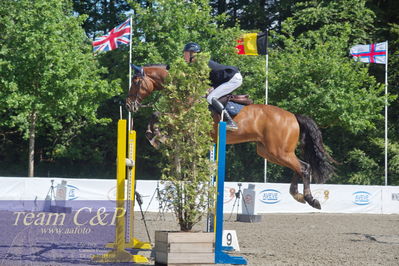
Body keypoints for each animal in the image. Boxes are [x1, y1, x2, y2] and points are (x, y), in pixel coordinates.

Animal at [126, 65, 336, 210]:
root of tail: (293, 116)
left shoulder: (185, 120)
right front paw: (155, 136)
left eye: (136, 82)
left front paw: (156, 137)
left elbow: (157, 115)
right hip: (269, 152)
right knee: (300, 167)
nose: (128, 105)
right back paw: (298, 196)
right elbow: (159, 118)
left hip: (278, 151)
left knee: (304, 168)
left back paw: (310, 199)